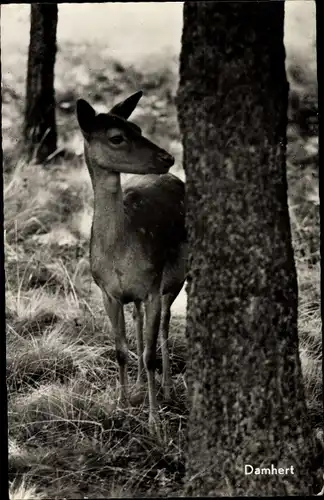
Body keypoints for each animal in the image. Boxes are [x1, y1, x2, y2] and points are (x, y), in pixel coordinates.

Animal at [76, 92, 186, 428]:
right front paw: (121, 406)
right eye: (117, 137)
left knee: (164, 325)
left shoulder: (152, 286)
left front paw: (154, 421)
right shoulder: (107, 291)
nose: (167, 157)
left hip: (175, 276)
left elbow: (150, 354)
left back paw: (167, 389)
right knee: (138, 320)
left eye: (137, 127)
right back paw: (138, 387)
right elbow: (120, 350)